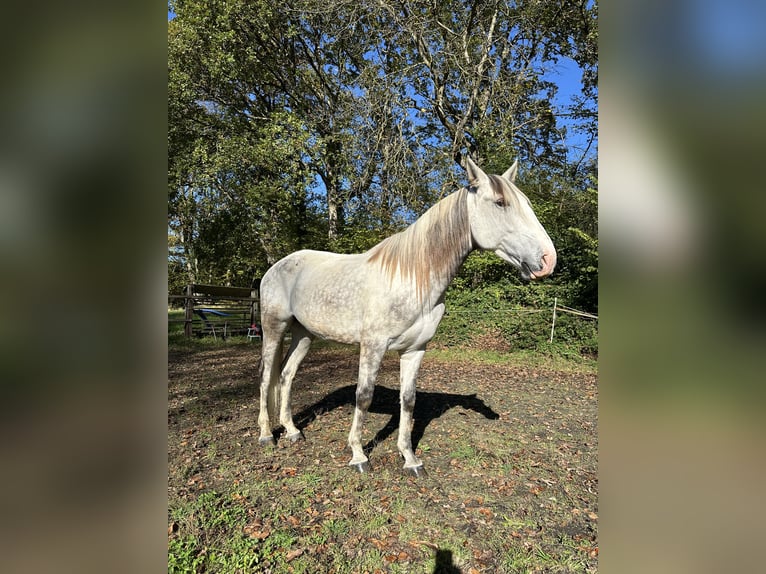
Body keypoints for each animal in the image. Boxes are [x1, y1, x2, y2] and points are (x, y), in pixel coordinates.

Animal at [258, 158, 560, 476]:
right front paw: (358, 455)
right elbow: (364, 396)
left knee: (287, 375)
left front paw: (410, 459)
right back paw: (266, 435)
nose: (548, 259)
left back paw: (292, 431)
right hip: (274, 327)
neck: (412, 277)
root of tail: (277, 266)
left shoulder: (415, 350)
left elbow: (408, 400)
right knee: (267, 377)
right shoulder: (373, 346)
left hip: (304, 334)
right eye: (501, 202)